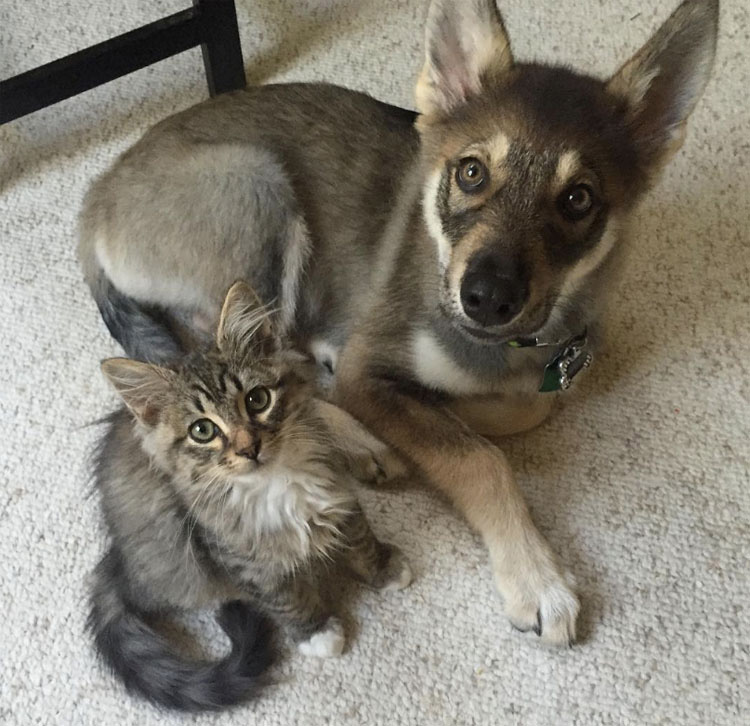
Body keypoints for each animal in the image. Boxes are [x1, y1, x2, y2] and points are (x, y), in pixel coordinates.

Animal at [79, 0, 720, 648]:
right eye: (471, 173)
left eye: (578, 199)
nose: (486, 298)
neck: (504, 346)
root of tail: (95, 198)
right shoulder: (368, 364)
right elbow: (479, 457)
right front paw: (537, 579)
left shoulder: (551, 371)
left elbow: (525, 407)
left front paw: (455, 407)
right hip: (257, 192)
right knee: (260, 357)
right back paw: (358, 438)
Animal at [92, 282, 418, 712]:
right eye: (202, 430)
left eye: (257, 400)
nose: (249, 448)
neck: (277, 482)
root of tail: (118, 559)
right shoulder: (240, 557)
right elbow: (286, 597)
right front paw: (318, 632)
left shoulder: (338, 492)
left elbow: (360, 538)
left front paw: (384, 567)